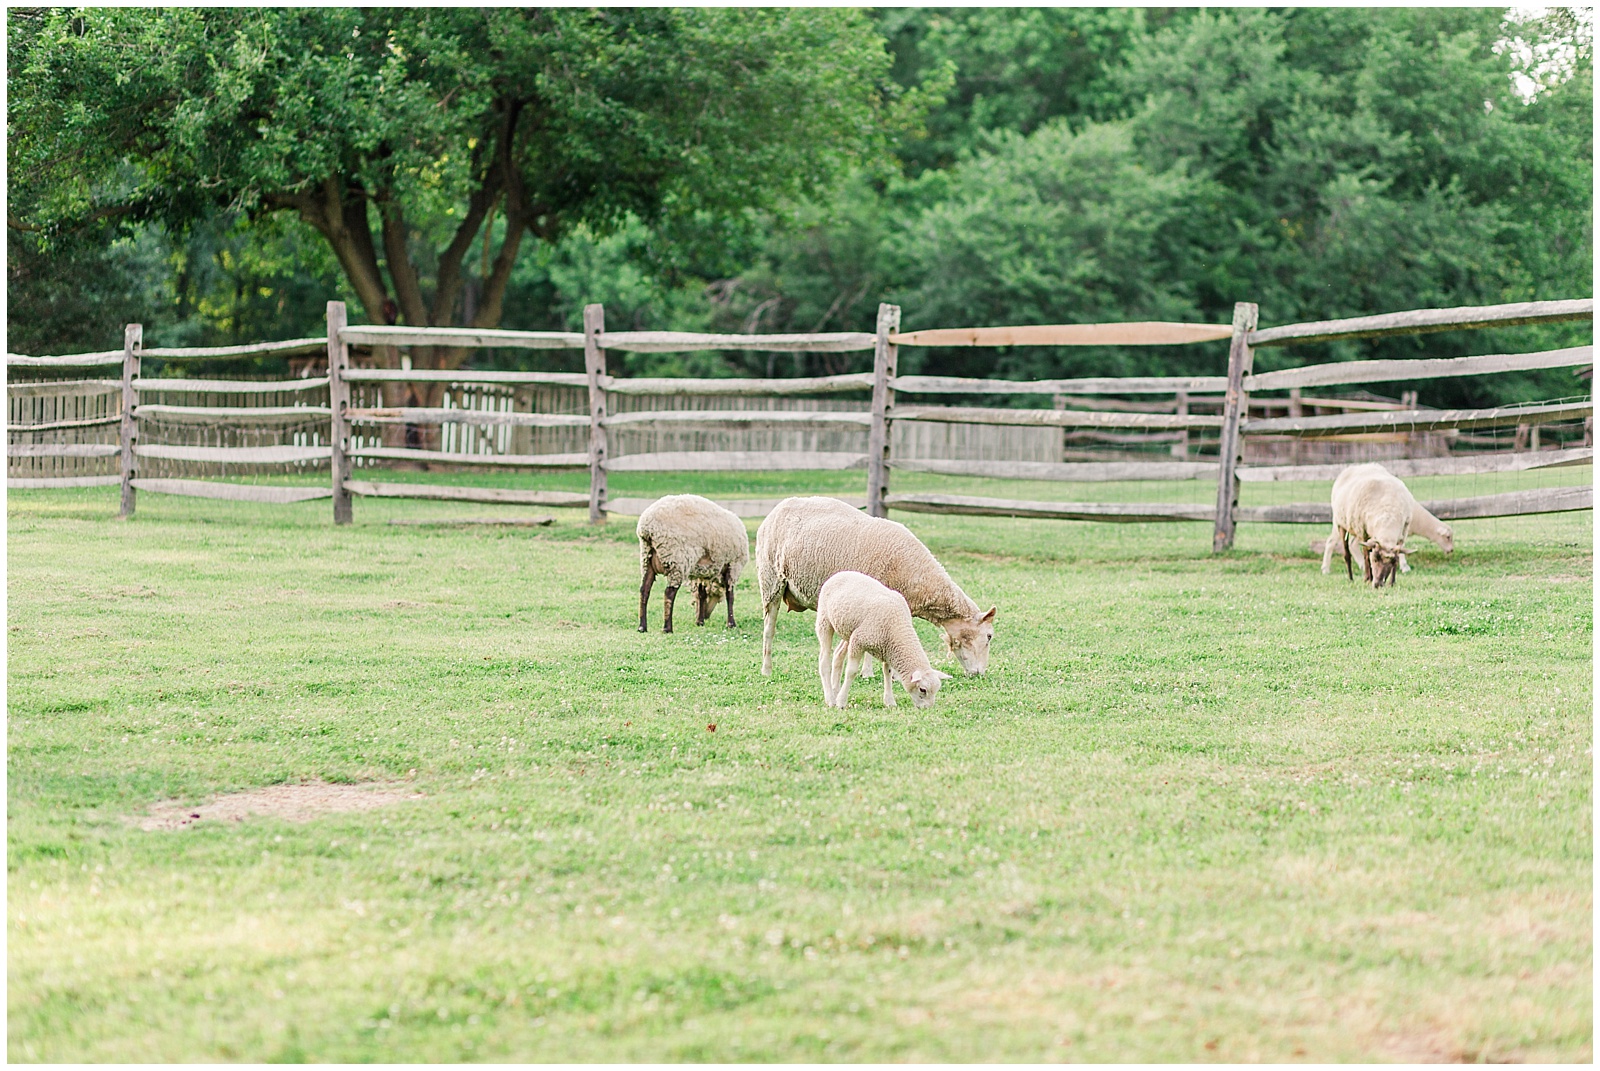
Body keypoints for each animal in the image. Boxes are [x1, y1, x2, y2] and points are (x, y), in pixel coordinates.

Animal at [636, 496, 748, 633]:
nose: (707, 616)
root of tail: (647, 528)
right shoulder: (733, 565)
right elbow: (730, 596)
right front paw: (731, 624)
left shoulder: (700, 571)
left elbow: (701, 594)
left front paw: (699, 621)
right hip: (676, 560)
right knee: (669, 593)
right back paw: (667, 628)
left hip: (646, 558)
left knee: (644, 590)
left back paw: (642, 626)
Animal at [755, 496, 992, 675]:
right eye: (989, 636)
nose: (980, 673)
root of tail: (779, 507)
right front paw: (867, 672)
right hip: (771, 581)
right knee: (769, 629)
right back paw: (766, 669)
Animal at [812, 566, 947, 710]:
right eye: (923, 689)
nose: (928, 708)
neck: (897, 627)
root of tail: (841, 573)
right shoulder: (859, 641)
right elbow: (851, 672)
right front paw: (841, 702)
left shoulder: (887, 648)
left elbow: (887, 672)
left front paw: (889, 701)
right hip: (825, 621)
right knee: (824, 660)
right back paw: (831, 699)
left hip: (849, 630)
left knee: (838, 655)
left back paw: (835, 691)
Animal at [1324, 461, 1414, 589]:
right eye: (1375, 560)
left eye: (1392, 562)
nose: (1377, 584)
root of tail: (1360, 465)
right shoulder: (1363, 532)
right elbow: (1366, 556)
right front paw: (1368, 579)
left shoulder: (1402, 535)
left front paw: (1392, 582)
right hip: (1341, 524)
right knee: (1347, 553)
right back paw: (1351, 578)